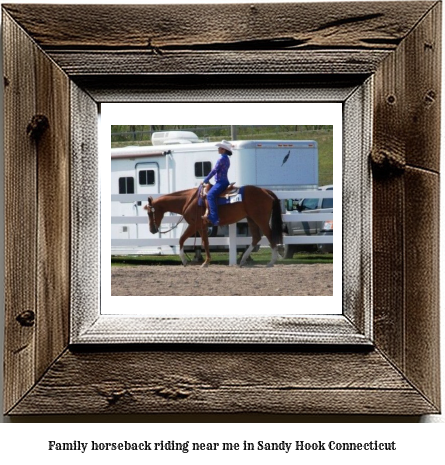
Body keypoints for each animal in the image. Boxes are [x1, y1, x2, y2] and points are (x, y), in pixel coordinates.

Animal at [142, 183, 282, 266]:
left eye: (149, 212)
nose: (152, 230)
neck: (188, 201)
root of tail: (265, 191)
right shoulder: (201, 226)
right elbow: (205, 242)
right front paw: (205, 262)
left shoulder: (194, 225)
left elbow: (182, 239)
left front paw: (185, 260)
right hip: (251, 219)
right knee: (256, 238)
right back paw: (242, 260)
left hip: (261, 219)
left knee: (270, 236)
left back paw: (272, 261)